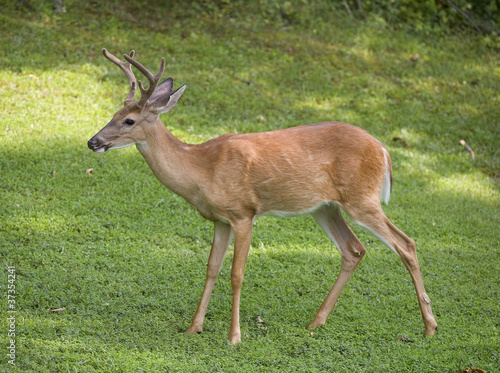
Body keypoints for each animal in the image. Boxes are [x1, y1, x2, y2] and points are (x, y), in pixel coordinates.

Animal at [87, 48, 438, 342]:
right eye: (113, 114)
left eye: (129, 120)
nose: (93, 142)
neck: (202, 169)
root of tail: (384, 150)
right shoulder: (219, 219)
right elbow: (211, 268)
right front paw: (193, 327)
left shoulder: (244, 212)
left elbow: (236, 274)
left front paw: (234, 337)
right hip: (325, 207)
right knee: (353, 249)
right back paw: (316, 322)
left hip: (361, 198)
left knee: (406, 243)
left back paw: (430, 327)